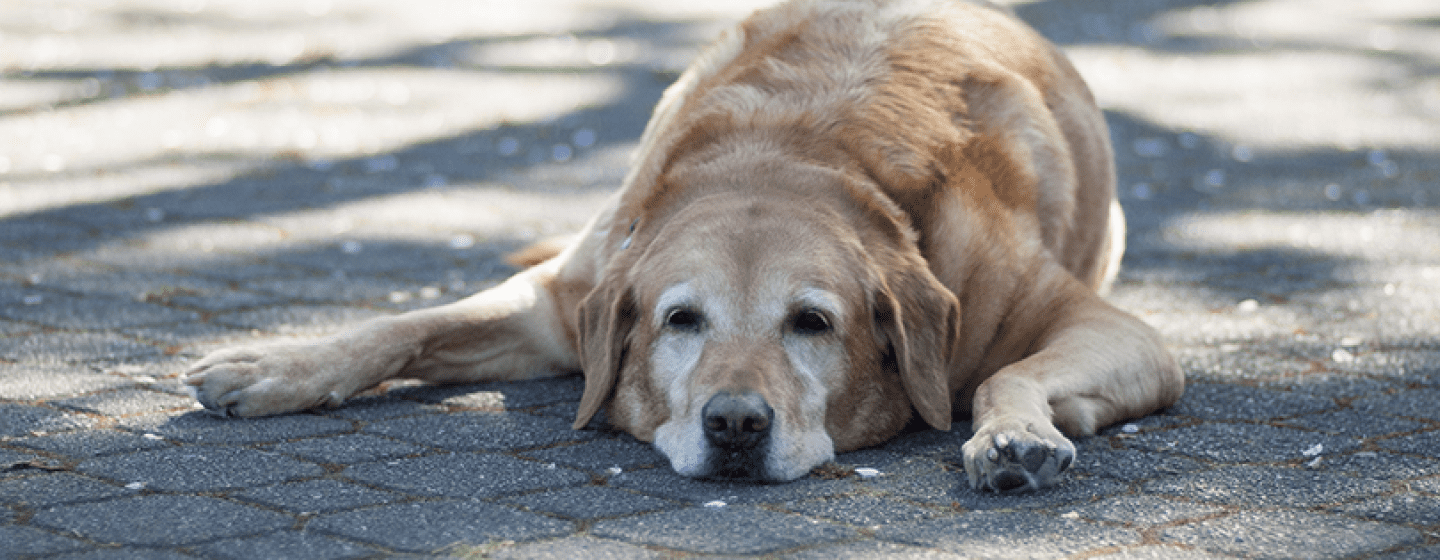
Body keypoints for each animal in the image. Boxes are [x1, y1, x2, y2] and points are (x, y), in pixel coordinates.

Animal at [188, 0, 1180, 489]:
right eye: (680, 320)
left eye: (812, 323)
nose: (735, 425)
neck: (791, 155)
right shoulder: (565, 301)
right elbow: (405, 325)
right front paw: (279, 363)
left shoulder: (1120, 332)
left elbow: (1006, 375)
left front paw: (1013, 435)